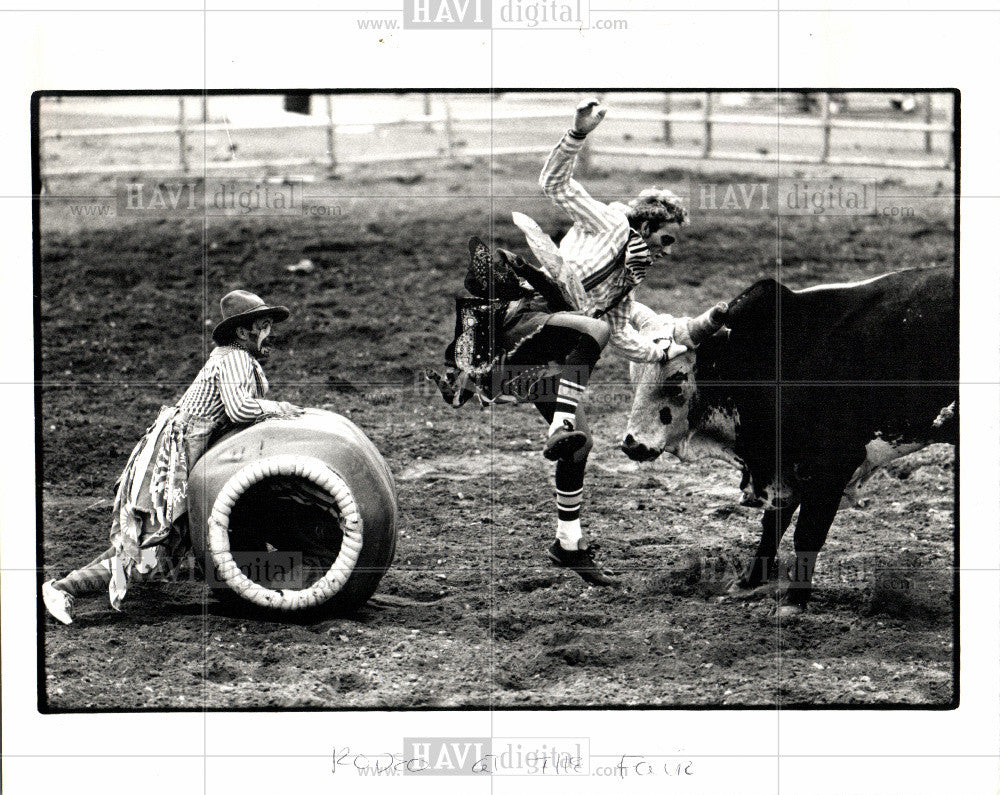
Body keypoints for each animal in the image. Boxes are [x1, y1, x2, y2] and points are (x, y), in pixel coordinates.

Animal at [620, 268, 956, 616]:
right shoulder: (781, 468)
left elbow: (806, 534)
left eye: (676, 378)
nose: (632, 444)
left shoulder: (833, 465)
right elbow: (773, 524)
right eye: (634, 375)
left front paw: (795, 600)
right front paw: (748, 582)